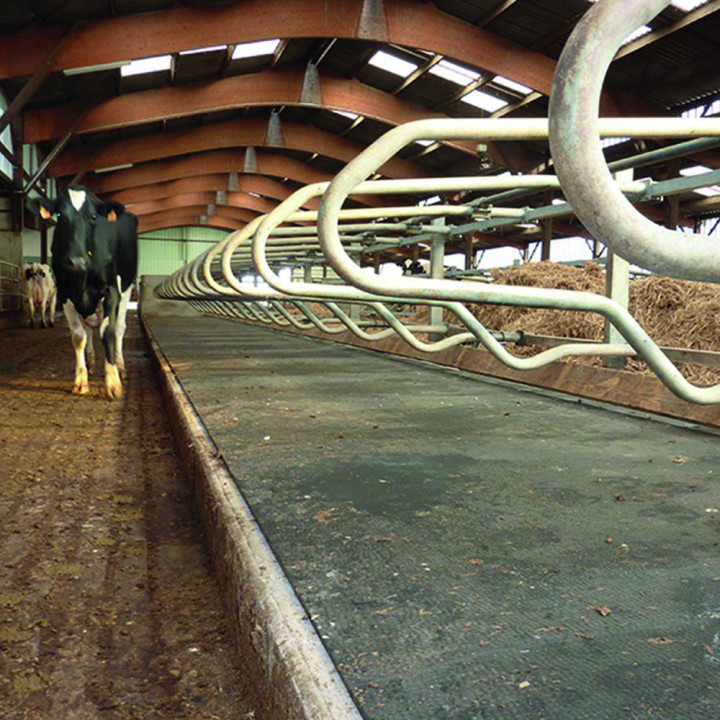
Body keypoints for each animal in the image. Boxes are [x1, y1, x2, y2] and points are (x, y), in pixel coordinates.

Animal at [40, 186, 139, 400]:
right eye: (60, 215)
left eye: (94, 216)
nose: (77, 261)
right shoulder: (65, 293)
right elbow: (79, 336)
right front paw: (80, 381)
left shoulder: (111, 290)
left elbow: (108, 332)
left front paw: (113, 382)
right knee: (89, 329)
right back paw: (92, 361)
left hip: (127, 287)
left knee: (120, 328)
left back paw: (120, 366)